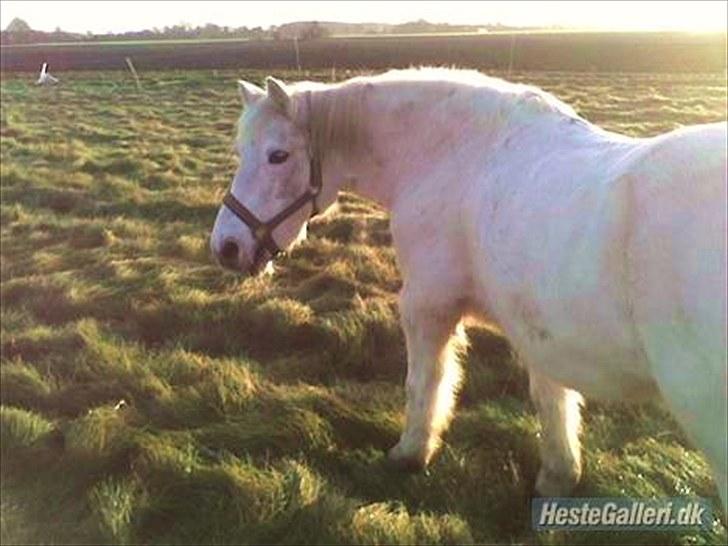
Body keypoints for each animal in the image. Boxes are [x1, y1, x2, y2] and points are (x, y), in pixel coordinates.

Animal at [210, 67, 728, 506]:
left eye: (278, 156)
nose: (226, 247)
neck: (457, 157)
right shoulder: (539, 329)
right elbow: (552, 402)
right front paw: (557, 477)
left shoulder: (427, 306)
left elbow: (426, 384)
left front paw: (410, 453)